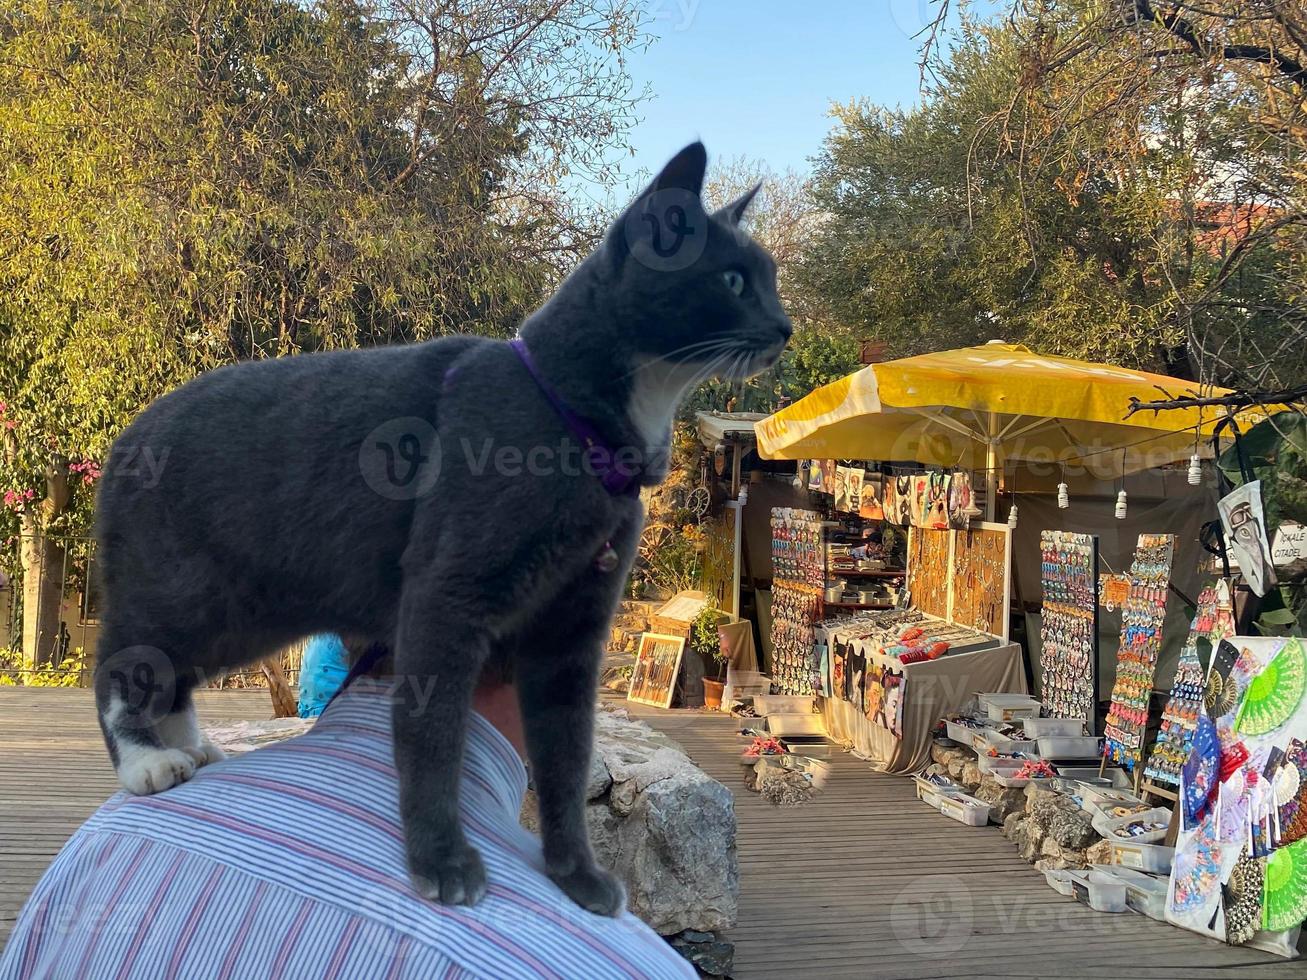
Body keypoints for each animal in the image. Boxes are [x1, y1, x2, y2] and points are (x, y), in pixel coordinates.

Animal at [92, 141, 789, 919]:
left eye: (769, 279)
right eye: (733, 279)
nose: (785, 327)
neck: (573, 419)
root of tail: (125, 441)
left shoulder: (575, 627)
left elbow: (564, 754)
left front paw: (574, 872)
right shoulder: (445, 593)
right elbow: (432, 733)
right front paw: (441, 860)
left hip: (249, 614)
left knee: (175, 671)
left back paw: (192, 746)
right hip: (191, 587)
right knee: (123, 655)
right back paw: (147, 760)